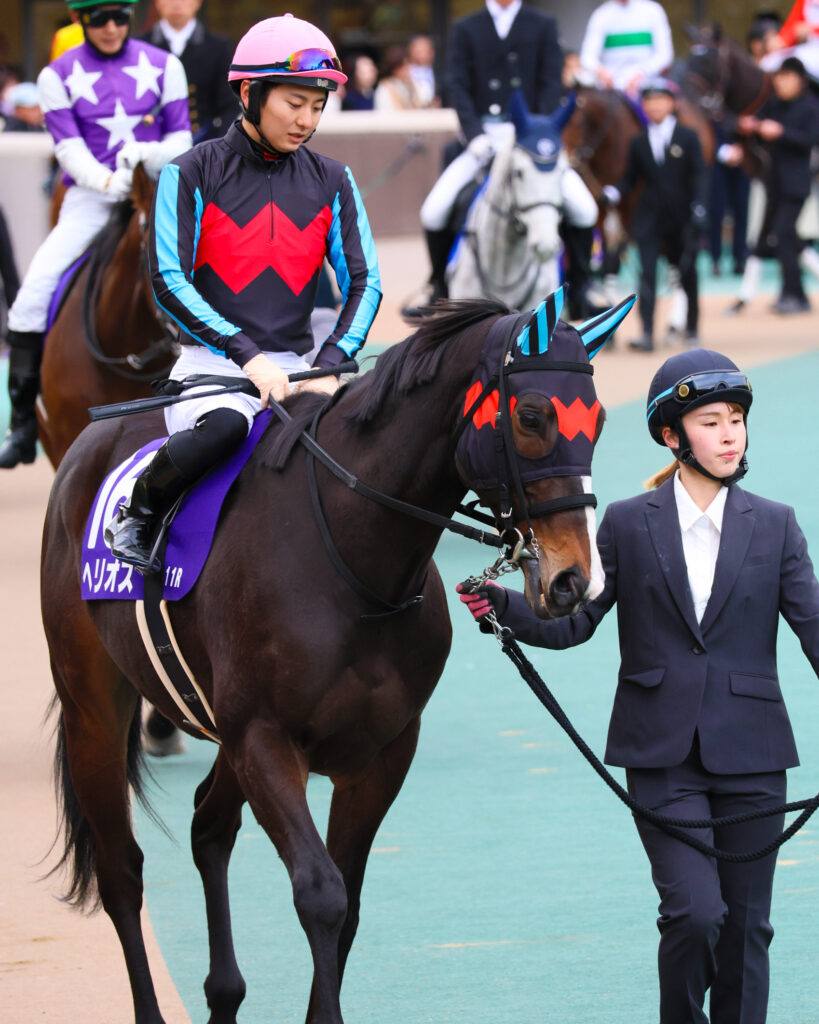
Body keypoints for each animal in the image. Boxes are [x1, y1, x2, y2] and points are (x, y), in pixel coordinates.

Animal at [41, 288, 634, 1024]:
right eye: (530, 415)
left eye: (598, 419)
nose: (573, 581)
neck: (349, 560)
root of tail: (89, 446)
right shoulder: (264, 737)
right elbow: (321, 895)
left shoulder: (380, 752)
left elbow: (347, 903)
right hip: (93, 708)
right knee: (121, 872)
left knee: (209, 826)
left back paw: (223, 992)